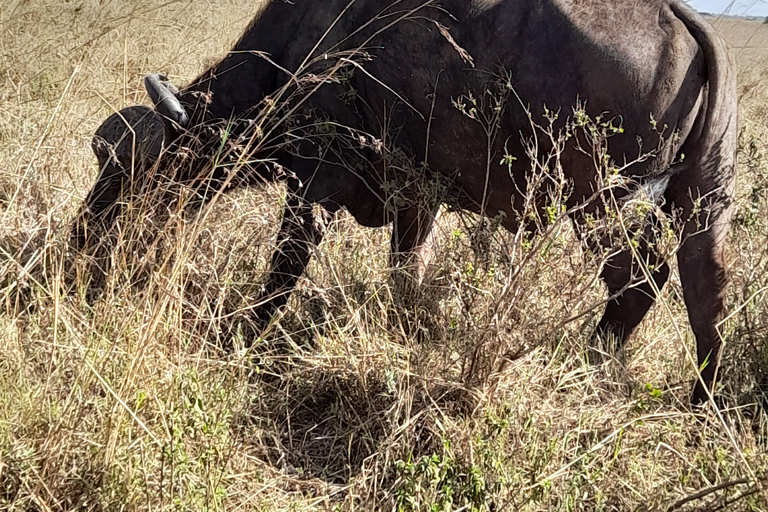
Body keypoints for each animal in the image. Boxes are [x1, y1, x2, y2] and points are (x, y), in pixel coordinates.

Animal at [72, 0, 736, 404]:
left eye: (128, 169)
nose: (82, 244)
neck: (302, 49)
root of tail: (679, 18)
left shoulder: (314, 189)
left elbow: (284, 270)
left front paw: (244, 337)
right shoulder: (419, 201)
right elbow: (404, 275)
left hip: (602, 203)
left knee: (636, 280)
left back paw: (589, 364)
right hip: (701, 201)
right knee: (704, 289)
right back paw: (701, 400)